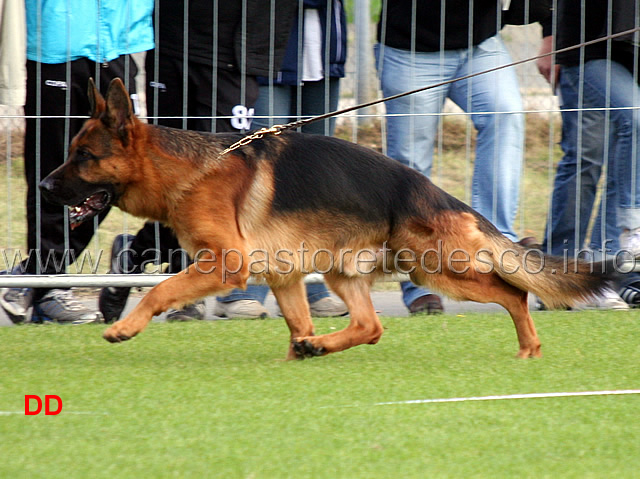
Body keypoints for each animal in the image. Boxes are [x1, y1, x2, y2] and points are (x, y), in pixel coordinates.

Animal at [40, 79, 608, 360]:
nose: (44, 187)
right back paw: (318, 348)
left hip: (437, 268)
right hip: (344, 271)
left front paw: (126, 327)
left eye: (83, 156)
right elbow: (297, 322)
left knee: (513, 292)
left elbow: (159, 290)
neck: (188, 170)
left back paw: (529, 349)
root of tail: (439, 195)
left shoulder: (226, 264)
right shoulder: (283, 275)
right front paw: (297, 354)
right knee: (370, 325)